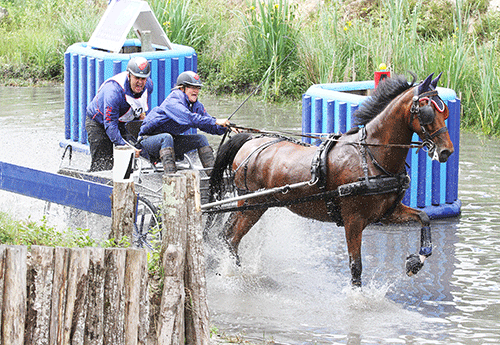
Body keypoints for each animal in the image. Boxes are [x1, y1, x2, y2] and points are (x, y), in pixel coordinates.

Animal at [207, 72, 454, 284]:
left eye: (445, 113)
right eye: (427, 112)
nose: (446, 151)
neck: (370, 157)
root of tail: (250, 141)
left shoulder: (387, 213)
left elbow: (424, 217)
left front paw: (416, 261)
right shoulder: (353, 220)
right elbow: (356, 266)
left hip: (254, 205)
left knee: (227, 236)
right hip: (251, 204)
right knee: (230, 237)